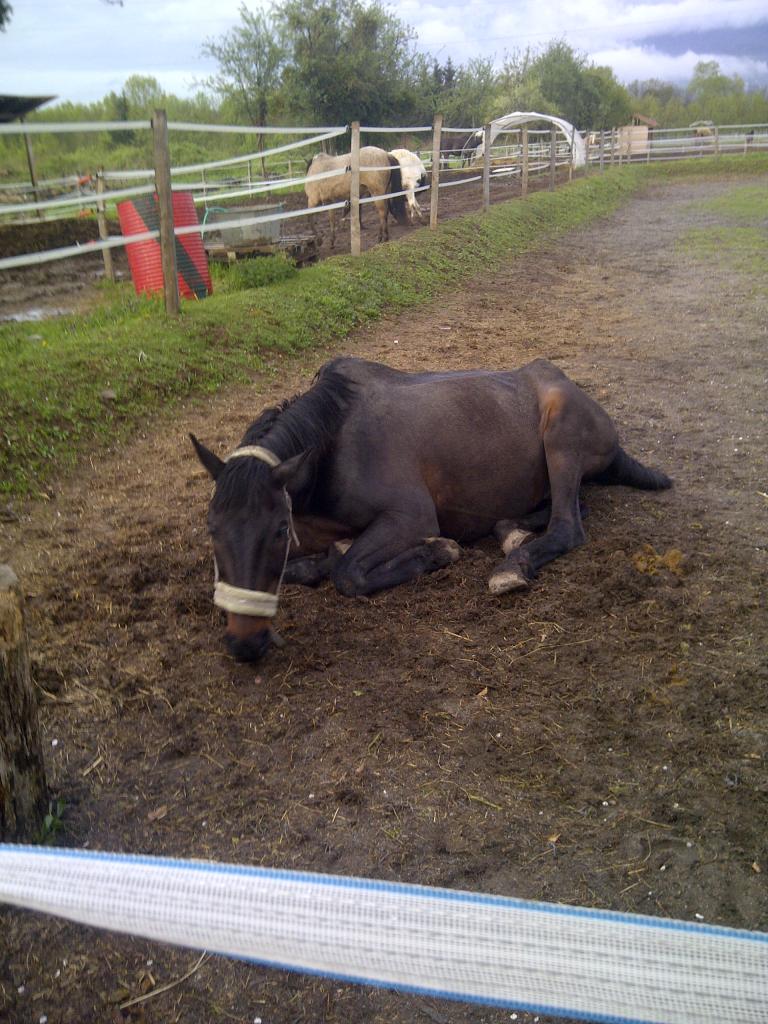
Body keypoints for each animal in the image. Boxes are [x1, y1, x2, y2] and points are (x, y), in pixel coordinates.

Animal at [193, 360, 671, 659]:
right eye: (213, 529)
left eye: (277, 529)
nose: (245, 644)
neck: (333, 447)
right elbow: (316, 564)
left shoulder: (410, 517)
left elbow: (348, 574)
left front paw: (437, 551)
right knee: (567, 509)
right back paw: (510, 533)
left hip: (560, 439)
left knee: (568, 525)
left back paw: (510, 568)